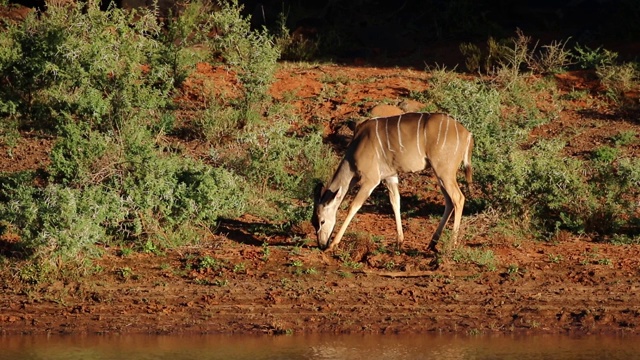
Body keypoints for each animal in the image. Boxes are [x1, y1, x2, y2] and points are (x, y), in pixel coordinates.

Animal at [312, 112, 472, 250]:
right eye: (313, 222)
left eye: (322, 221)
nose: (321, 244)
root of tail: (468, 135)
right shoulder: (390, 177)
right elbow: (396, 203)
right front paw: (399, 241)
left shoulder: (371, 180)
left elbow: (353, 206)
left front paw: (334, 244)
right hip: (441, 174)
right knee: (450, 201)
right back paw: (432, 243)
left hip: (444, 171)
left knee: (458, 198)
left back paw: (451, 244)